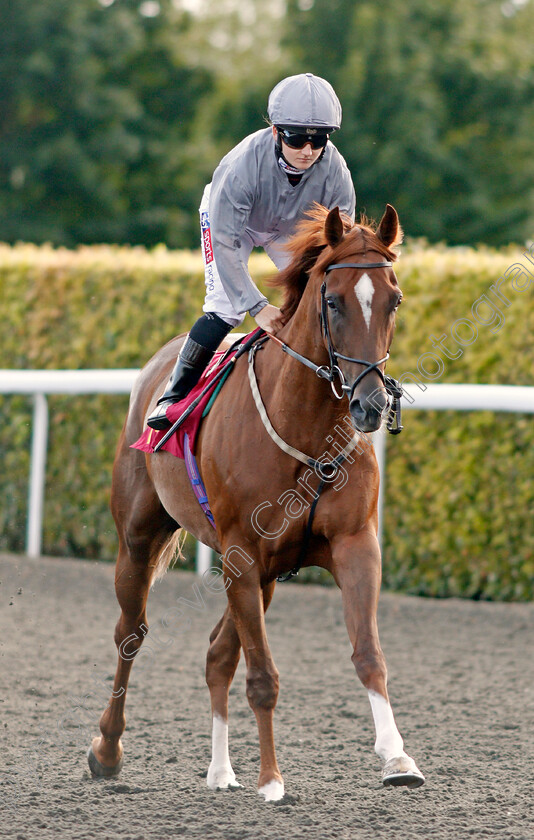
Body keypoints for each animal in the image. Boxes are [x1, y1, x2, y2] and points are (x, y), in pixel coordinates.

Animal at [88, 203, 428, 800]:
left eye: (395, 299)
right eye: (334, 301)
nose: (369, 404)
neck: (309, 433)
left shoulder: (353, 544)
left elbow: (369, 656)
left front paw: (397, 758)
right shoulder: (242, 553)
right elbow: (263, 676)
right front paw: (272, 779)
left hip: (265, 574)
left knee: (217, 654)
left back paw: (221, 771)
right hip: (141, 538)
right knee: (131, 633)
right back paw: (107, 750)